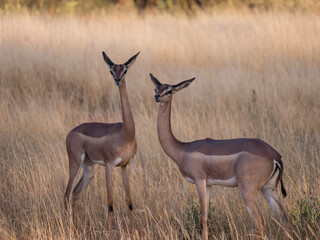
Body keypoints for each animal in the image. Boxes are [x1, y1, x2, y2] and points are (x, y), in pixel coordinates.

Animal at [64, 51, 139, 229]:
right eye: (111, 70)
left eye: (124, 70)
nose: (117, 80)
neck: (125, 134)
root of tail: (71, 132)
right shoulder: (109, 166)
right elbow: (110, 202)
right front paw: (110, 231)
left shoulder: (125, 165)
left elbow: (129, 201)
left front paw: (134, 231)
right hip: (75, 164)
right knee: (66, 195)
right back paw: (68, 228)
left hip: (89, 169)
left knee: (75, 193)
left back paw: (75, 227)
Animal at [150, 74, 290, 239]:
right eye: (156, 88)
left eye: (169, 90)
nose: (157, 97)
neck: (183, 149)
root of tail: (274, 155)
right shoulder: (209, 184)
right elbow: (206, 214)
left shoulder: (199, 180)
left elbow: (203, 218)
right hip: (268, 189)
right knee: (284, 218)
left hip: (248, 190)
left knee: (260, 222)